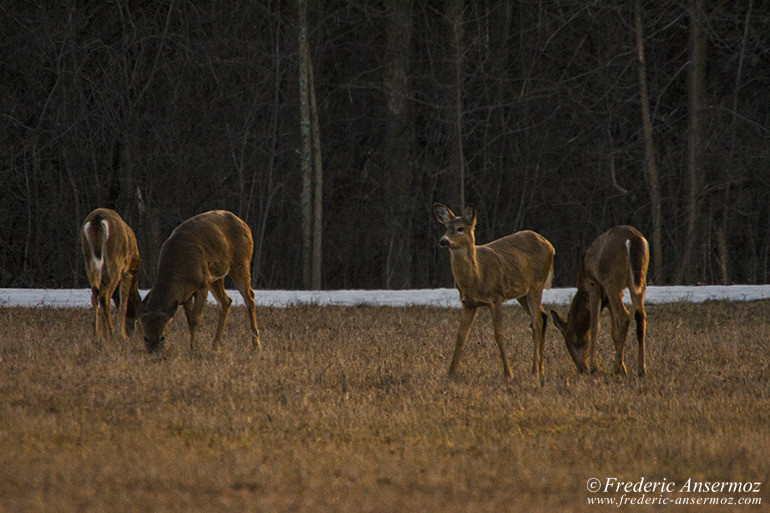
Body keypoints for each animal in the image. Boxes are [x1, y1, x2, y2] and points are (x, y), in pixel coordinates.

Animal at [80, 206, 141, 342]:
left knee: (95, 292)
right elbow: (123, 304)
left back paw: (97, 334)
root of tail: (97, 219)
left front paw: (105, 333)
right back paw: (113, 333)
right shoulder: (127, 272)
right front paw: (121, 334)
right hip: (115, 259)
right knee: (105, 294)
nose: (136, 335)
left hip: (88, 258)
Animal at [136, 210, 260, 354]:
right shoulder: (185, 295)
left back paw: (256, 345)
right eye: (145, 337)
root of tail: (245, 225)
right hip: (215, 276)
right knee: (226, 301)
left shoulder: (202, 285)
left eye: (162, 337)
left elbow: (195, 319)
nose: (153, 354)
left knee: (249, 297)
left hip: (240, 262)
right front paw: (195, 346)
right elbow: (189, 320)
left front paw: (194, 349)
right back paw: (215, 346)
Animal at [432, 203, 552, 376]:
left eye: (460, 228)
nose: (443, 241)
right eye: (446, 227)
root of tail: (550, 246)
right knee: (542, 316)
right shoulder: (468, 303)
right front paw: (451, 372)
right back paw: (541, 368)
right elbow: (461, 335)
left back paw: (534, 369)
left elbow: (499, 335)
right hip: (522, 293)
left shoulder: (495, 298)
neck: (477, 276)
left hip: (537, 284)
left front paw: (508, 373)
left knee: (536, 323)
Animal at [544, 226, 648, 374]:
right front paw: (622, 366)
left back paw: (616, 369)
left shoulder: (594, 286)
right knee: (640, 316)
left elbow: (594, 325)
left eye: (575, 342)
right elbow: (613, 331)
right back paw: (641, 370)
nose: (582, 368)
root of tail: (634, 239)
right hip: (639, 280)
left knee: (625, 316)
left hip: (612, 280)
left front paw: (595, 367)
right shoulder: (612, 296)